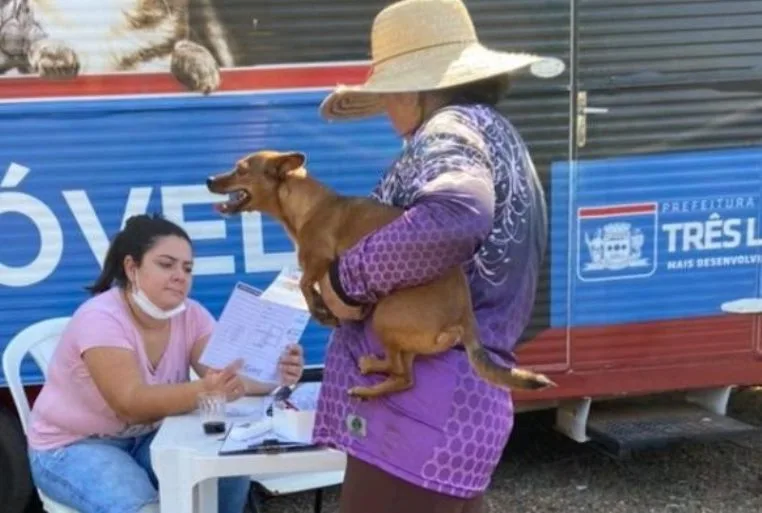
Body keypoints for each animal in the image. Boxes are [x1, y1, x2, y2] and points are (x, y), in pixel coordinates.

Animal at [205, 150, 556, 398]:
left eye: (241, 169)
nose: (208, 179)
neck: (308, 205)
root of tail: (465, 319)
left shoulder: (320, 261)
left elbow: (306, 284)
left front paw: (321, 311)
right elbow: (307, 285)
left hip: (386, 316)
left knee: (400, 372)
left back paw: (367, 378)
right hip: (402, 336)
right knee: (404, 377)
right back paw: (370, 378)